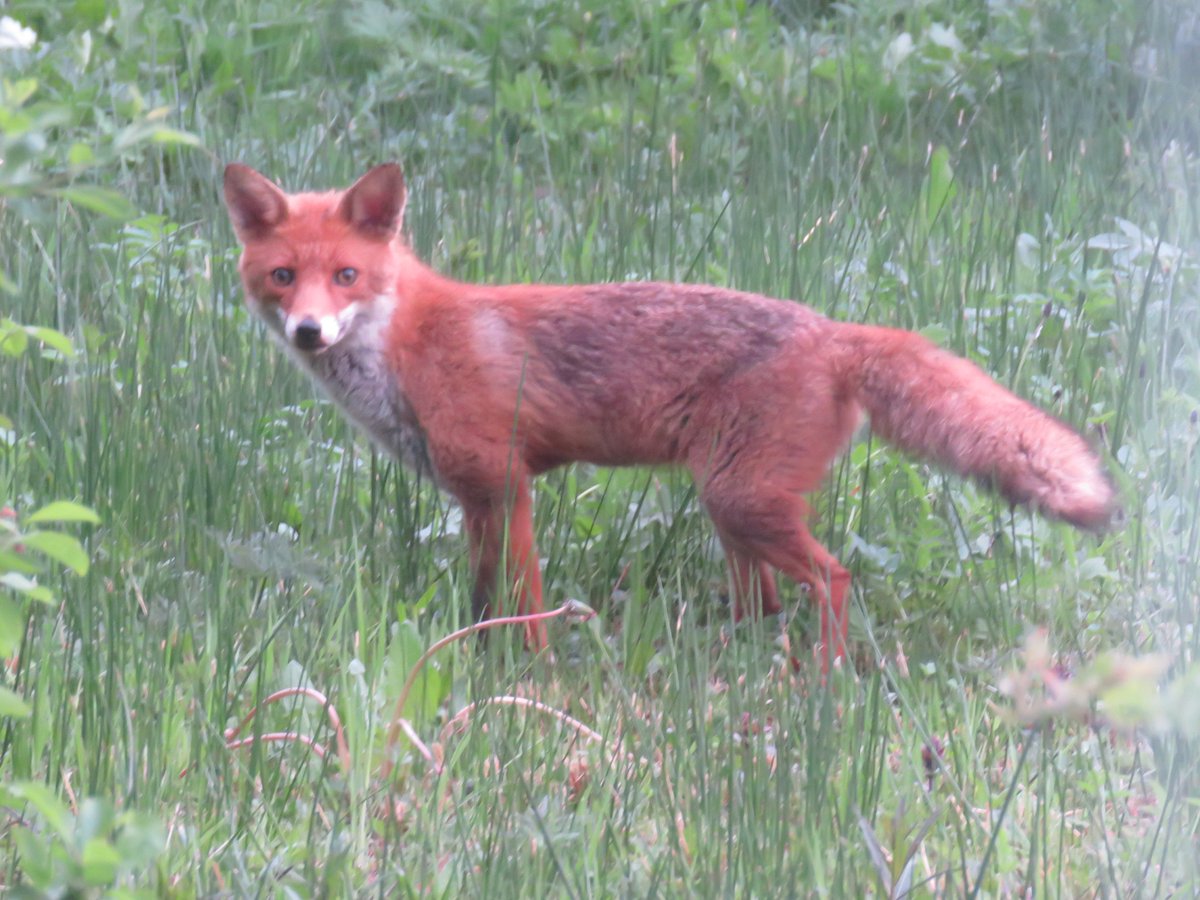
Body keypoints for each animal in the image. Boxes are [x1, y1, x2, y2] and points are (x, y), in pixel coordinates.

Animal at [223, 162, 1113, 672]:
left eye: (345, 275)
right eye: (283, 277)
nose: (308, 331)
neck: (405, 346)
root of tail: (832, 329)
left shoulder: (505, 487)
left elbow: (524, 598)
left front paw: (533, 678)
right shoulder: (474, 499)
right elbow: (481, 601)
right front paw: (480, 664)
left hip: (740, 502)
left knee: (835, 579)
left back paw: (823, 683)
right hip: (734, 511)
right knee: (768, 606)